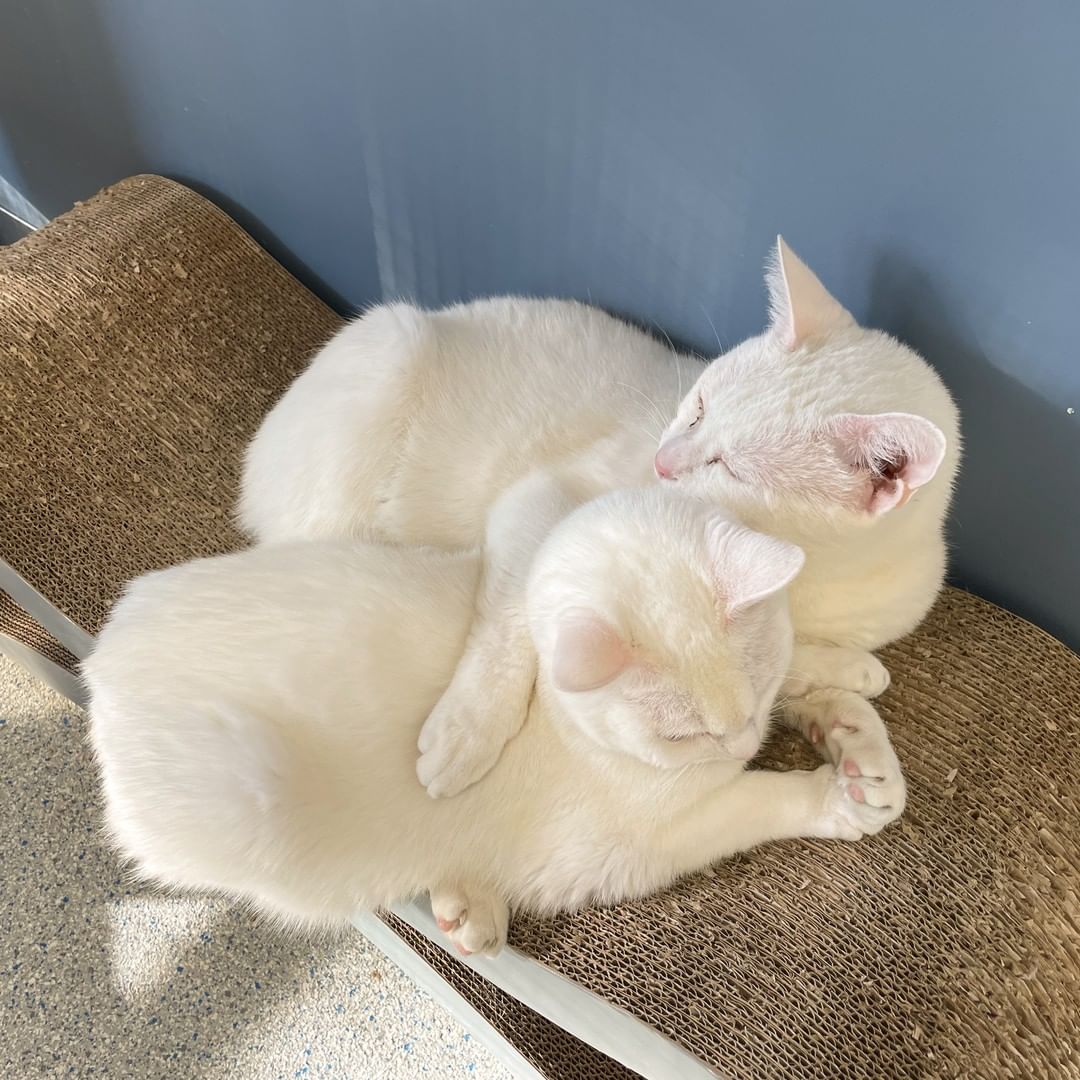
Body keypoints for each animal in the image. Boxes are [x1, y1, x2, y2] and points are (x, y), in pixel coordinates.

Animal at [82, 490, 902, 954]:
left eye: (754, 691)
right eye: (681, 734)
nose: (737, 741)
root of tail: (101, 654)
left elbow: (811, 683)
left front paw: (854, 716)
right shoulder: (641, 841)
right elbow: (758, 802)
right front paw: (838, 797)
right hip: (252, 800)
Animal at [240, 238, 959, 794]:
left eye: (728, 466)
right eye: (697, 406)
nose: (663, 463)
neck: (813, 579)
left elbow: (782, 658)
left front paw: (848, 705)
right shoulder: (545, 499)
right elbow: (515, 616)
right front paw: (470, 727)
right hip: (385, 372)